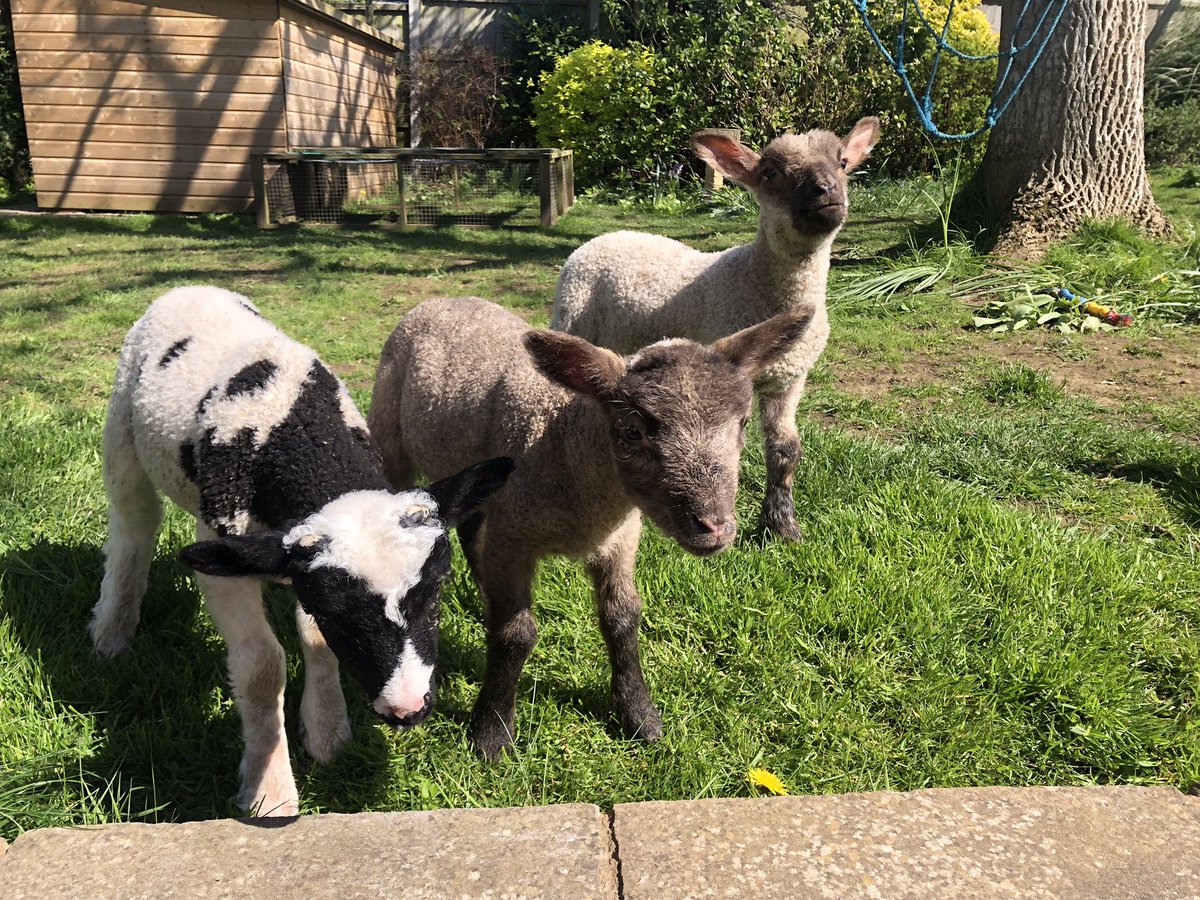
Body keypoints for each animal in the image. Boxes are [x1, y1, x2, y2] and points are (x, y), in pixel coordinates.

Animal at [89, 286, 511, 816]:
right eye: (337, 611)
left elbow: (315, 642)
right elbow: (262, 666)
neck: (306, 441)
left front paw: (328, 731)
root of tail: (192, 288)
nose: (407, 708)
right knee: (133, 528)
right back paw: (111, 631)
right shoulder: (226, 556)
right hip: (122, 427)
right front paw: (269, 790)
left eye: (436, 591)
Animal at [368, 296, 814, 759]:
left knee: (472, 531)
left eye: (742, 424)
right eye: (632, 431)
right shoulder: (513, 539)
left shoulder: (620, 540)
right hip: (390, 434)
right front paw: (492, 732)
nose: (715, 527)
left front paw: (639, 715)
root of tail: (443, 300)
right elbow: (515, 634)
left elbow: (623, 617)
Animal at [551, 117, 881, 541]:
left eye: (842, 163)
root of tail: (604, 238)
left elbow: (785, 449)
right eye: (770, 174)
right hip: (571, 316)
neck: (754, 280)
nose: (825, 191)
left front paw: (782, 526)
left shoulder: (790, 378)